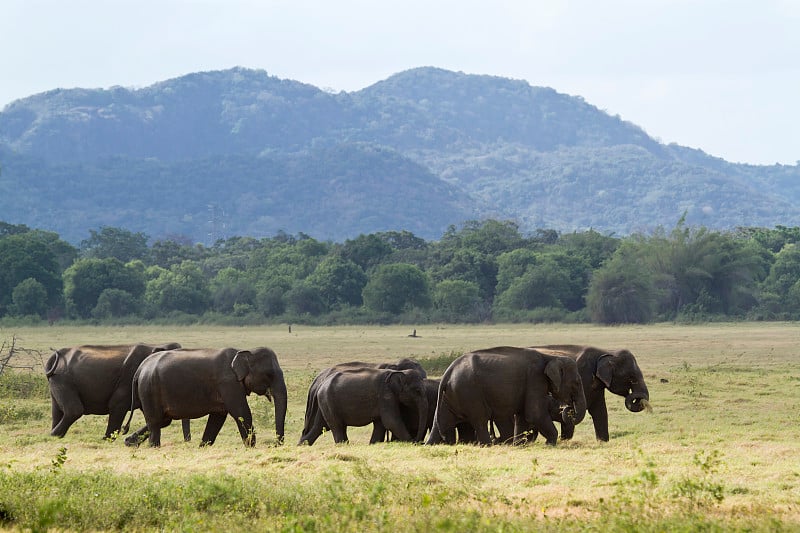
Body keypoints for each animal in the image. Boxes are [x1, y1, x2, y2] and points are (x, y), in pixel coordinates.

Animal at [44, 342, 187, 438]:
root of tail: (54, 356)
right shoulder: (128, 380)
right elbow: (117, 405)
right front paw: (107, 439)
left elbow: (160, 418)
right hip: (64, 380)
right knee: (74, 410)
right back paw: (53, 435)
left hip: (57, 382)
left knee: (57, 411)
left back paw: (56, 435)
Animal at [122, 348, 288, 446]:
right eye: (269, 374)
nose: (275, 444)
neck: (244, 352)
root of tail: (140, 369)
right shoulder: (228, 384)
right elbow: (241, 413)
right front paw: (251, 447)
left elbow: (217, 418)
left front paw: (203, 446)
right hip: (149, 390)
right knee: (156, 423)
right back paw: (153, 447)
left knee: (162, 420)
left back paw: (129, 442)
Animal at [424, 344, 588, 444]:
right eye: (576, 383)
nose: (568, 408)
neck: (550, 357)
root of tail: (448, 372)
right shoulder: (535, 379)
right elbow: (534, 414)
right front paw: (550, 443)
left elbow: (523, 416)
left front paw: (519, 444)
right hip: (470, 392)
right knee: (480, 419)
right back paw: (487, 445)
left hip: (449, 396)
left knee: (440, 422)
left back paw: (429, 444)